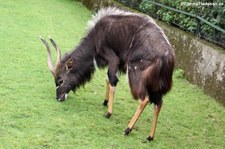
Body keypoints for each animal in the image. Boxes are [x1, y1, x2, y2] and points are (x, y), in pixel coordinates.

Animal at [40, 7, 174, 141]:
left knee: (144, 99)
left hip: (134, 74)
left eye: (61, 80)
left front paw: (108, 113)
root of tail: (168, 57)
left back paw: (128, 129)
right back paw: (150, 136)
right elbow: (107, 79)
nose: (58, 97)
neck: (97, 37)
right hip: (155, 87)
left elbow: (112, 80)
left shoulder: (113, 59)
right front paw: (105, 102)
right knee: (158, 103)